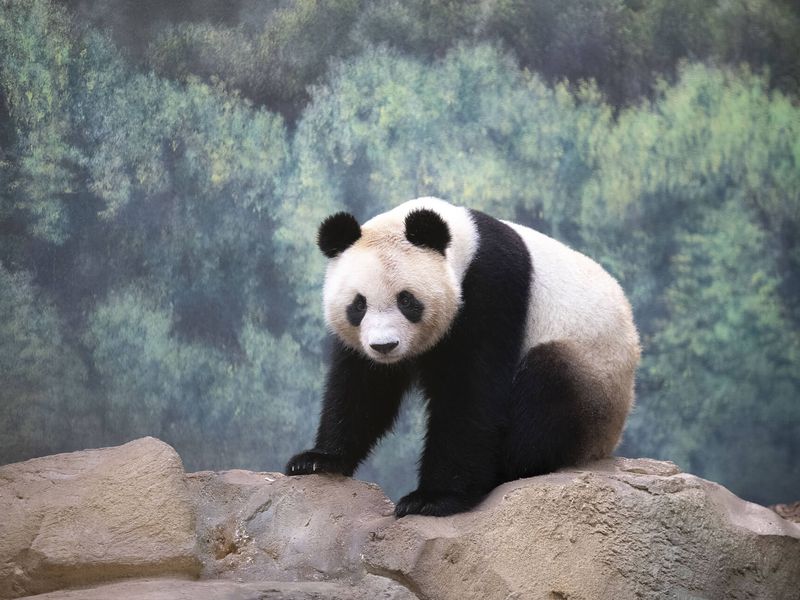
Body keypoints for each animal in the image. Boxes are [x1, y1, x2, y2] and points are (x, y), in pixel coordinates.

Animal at [284, 197, 640, 516]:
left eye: (407, 300)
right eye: (358, 305)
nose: (384, 346)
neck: (465, 246)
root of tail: (606, 444)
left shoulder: (491, 289)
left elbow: (470, 393)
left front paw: (432, 499)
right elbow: (363, 389)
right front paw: (317, 460)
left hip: (591, 373)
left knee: (546, 392)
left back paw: (504, 470)